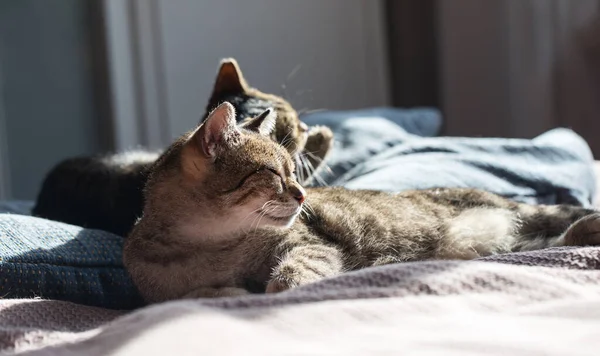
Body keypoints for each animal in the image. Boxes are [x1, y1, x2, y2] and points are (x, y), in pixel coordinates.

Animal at [123, 101, 600, 302]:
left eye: (295, 172)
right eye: (274, 174)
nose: (302, 194)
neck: (209, 246)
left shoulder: (307, 243)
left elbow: (291, 274)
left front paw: (276, 287)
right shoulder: (154, 293)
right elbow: (191, 295)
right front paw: (224, 289)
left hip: (516, 212)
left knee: (555, 220)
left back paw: (589, 224)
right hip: (510, 244)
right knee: (547, 242)